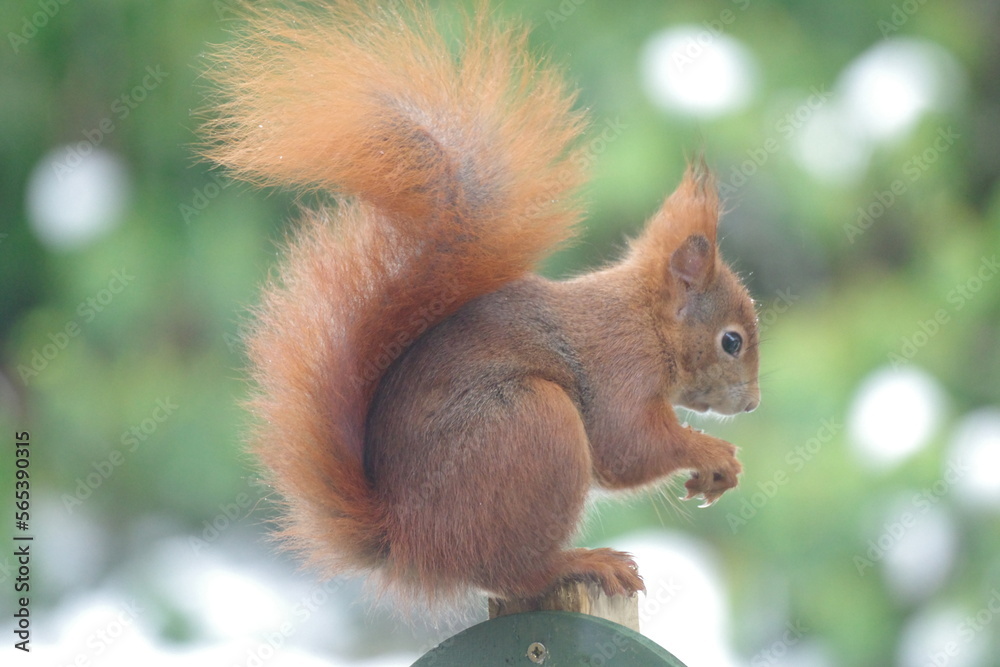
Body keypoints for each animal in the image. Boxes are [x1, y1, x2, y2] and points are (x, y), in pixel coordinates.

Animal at [203, 0, 760, 606]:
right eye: (731, 341)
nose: (753, 405)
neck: (646, 320)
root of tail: (408, 540)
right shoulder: (621, 367)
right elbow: (627, 446)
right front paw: (713, 454)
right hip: (533, 426)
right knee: (512, 571)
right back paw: (580, 562)